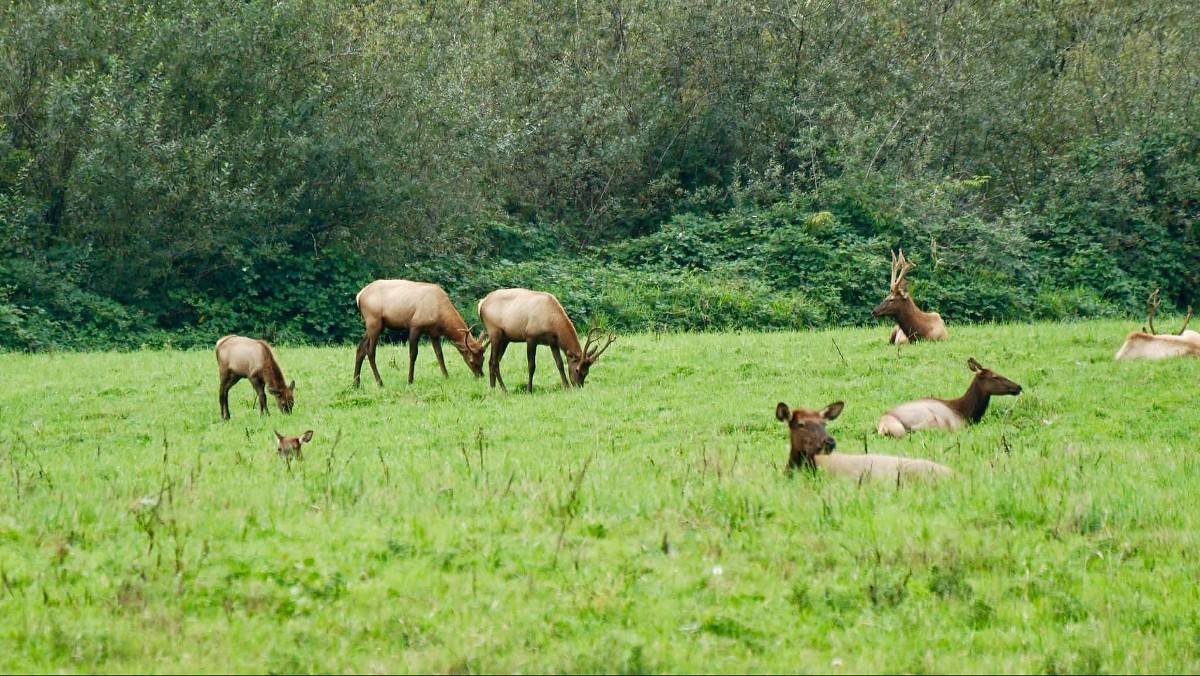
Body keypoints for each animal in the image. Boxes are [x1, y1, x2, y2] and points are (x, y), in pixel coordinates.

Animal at [353, 279, 490, 386]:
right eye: (471, 361)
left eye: (483, 359)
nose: (480, 375)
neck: (440, 316)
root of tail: (359, 296)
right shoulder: (415, 326)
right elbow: (413, 354)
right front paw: (410, 380)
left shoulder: (434, 333)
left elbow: (439, 354)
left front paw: (446, 376)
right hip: (374, 321)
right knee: (370, 351)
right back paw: (379, 382)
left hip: (377, 325)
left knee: (360, 349)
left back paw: (356, 383)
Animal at [477, 288, 616, 392]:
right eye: (578, 370)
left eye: (587, 372)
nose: (578, 386)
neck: (552, 322)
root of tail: (481, 304)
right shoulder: (531, 337)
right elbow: (531, 365)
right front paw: (529, 389)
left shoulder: (552, 342)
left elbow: (559, 363)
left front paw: (566, 386)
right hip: (494, 332)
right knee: (494, 362)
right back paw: (504, 389)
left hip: (505, 338)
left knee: (492, 361)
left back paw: (493, 388)